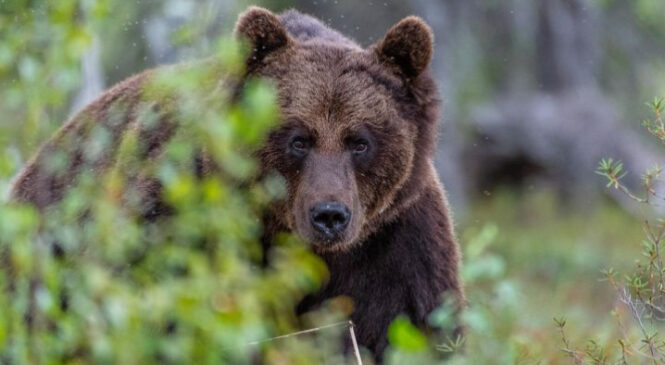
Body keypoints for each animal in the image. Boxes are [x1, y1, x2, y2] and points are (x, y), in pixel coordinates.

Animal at [11, 7, 466, 360]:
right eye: (298, 139)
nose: (329, 215)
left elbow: (409, 328)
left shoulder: (396, 243)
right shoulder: (179, 213)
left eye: (360, 142)